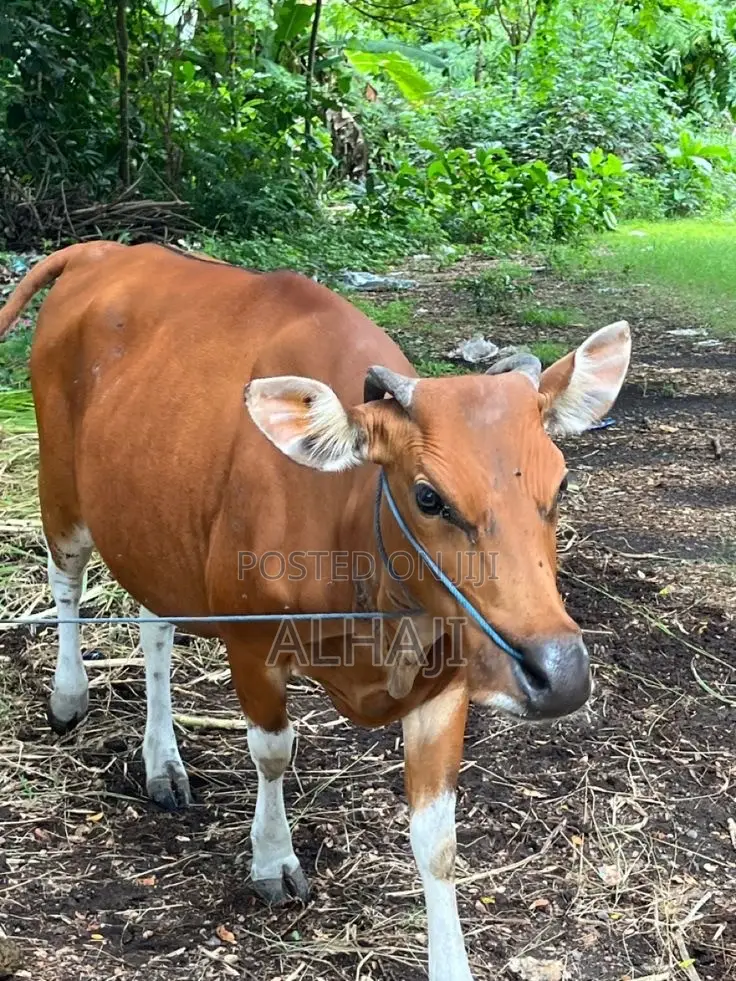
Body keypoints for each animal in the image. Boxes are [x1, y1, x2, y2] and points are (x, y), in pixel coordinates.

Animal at [0, 242, 631, 981]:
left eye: (562, 482)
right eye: (429, 496)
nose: (559, 673)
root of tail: (105, 250)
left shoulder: (447, 685)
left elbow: (438, 840)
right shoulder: (251, 643)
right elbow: (273, 752)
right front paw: (272, 857)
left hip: (152, 527)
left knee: (154, 627)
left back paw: (163, 762)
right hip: (60, 483)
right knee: (66, 579)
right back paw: (70, 694)